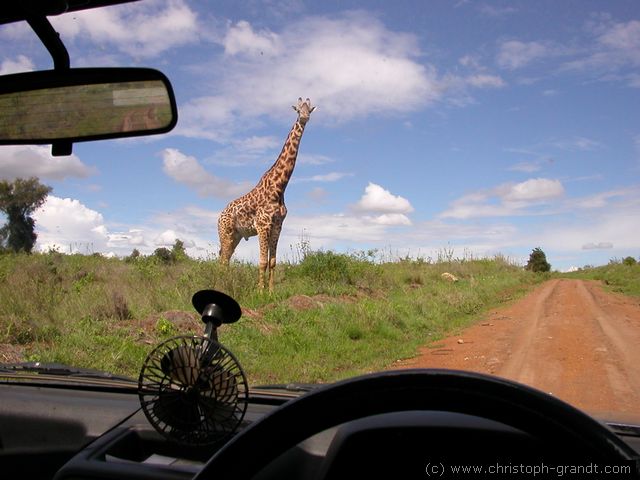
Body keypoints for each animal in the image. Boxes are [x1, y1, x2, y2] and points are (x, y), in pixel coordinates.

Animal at [218, 97, 316, 290]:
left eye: (309, 109)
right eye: (298, 110)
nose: (305, 117)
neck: (279, 188)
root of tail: (220, 215)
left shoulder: (277, 226)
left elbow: (272, 262)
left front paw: (271, 291)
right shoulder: (262, 226)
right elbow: (262, 261)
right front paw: (260, 291)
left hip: (236, 236)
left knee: (225, 258)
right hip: (225, 233)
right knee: (223, 259)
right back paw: (220, 285)